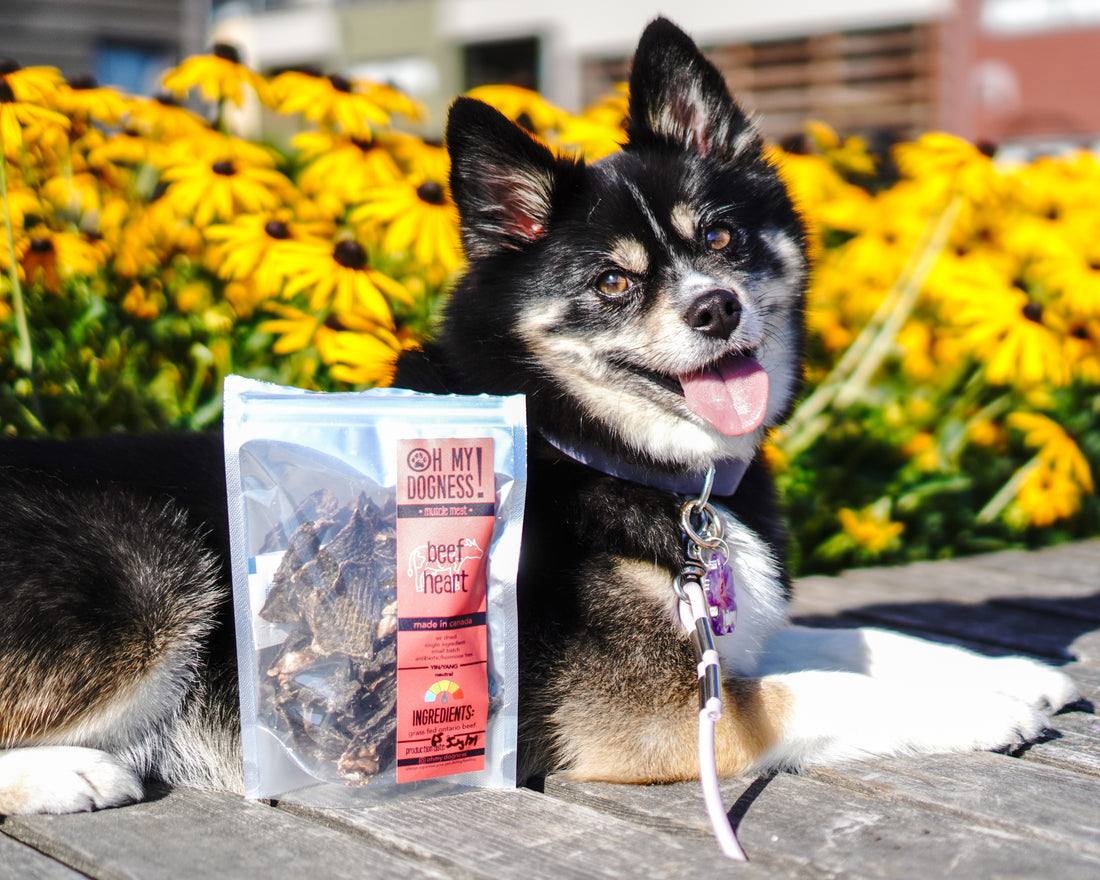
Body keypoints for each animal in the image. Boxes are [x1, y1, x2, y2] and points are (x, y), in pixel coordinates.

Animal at [0, 18, 1078, 818]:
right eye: (612, 281)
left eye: (723, 238)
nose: (715, 308)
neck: (597, 447)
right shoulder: (646, 714)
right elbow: (821, 687)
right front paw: (979, 704)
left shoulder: (717, 637)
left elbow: (849, 640)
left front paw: (1009, 669)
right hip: (149, 571)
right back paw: (68, 771)